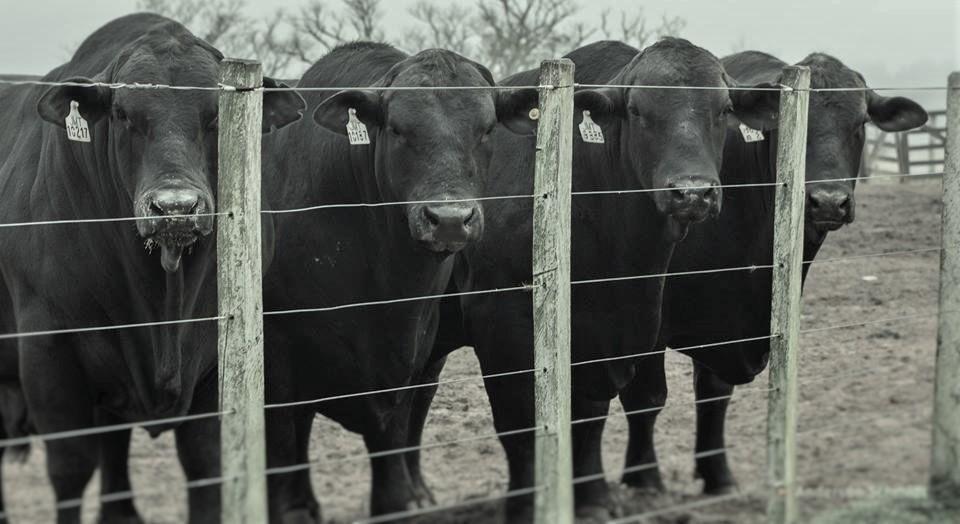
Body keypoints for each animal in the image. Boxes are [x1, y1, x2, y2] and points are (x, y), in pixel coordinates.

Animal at [0, 13, 304, 524]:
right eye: (123, 114)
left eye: (216, 115)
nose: (175, 207)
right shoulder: (48, 351)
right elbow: (70, 468)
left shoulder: (212, 361)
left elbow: (205, 464)